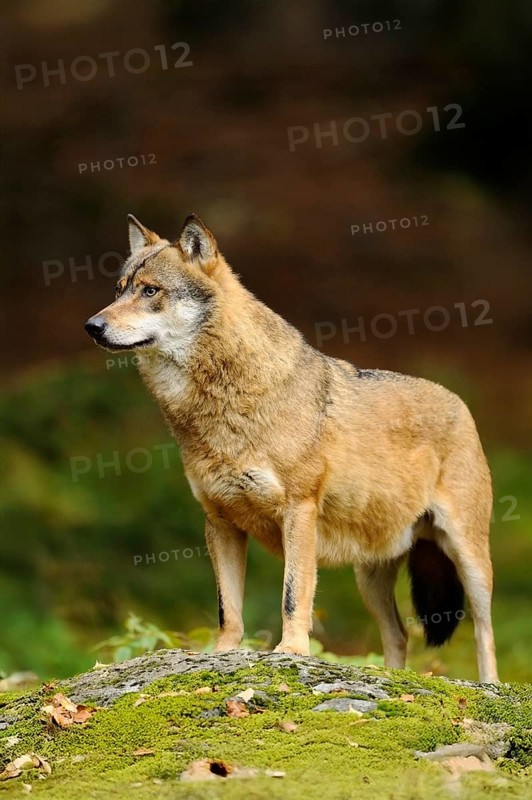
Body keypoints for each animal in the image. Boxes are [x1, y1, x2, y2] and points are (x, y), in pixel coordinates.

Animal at [85, 213, 498, 682]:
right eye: (119, 289)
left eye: (150, 291)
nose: (92, 326)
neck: (218, 410)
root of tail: (459, 402)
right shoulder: (219, 524)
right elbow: (228, 609)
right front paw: (222, 654)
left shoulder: (299, 511)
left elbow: (292, 593)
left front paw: (292, 651)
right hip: (370, 577)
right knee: (398, 634)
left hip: (468, 560)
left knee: (483, 631)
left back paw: (490, 685)